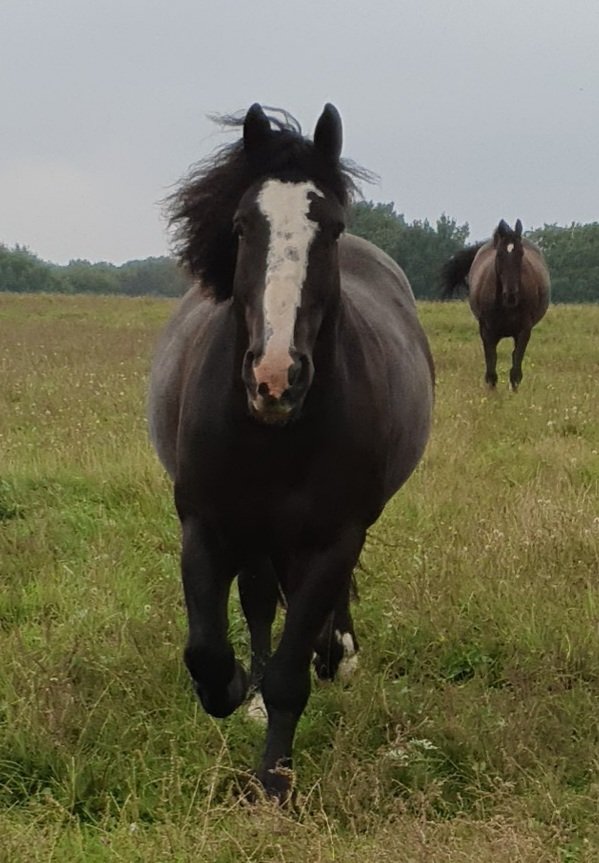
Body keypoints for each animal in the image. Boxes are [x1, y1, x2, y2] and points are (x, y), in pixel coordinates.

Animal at [148, 103, 434, 800]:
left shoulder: (335, 535)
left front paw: (273, 783)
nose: (275, 377)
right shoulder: (205, 523)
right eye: (241, 226)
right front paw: (230, 689)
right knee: (256, 601)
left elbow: (290, 674)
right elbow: (208, 647)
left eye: (330, 228)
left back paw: (337, 655)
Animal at [440, 219, 550, 389]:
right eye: (499, 254)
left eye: (521, 253)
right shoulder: (487, 332)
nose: (511, 296)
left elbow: (515, 371)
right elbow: (491, 372)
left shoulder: (524, 331)